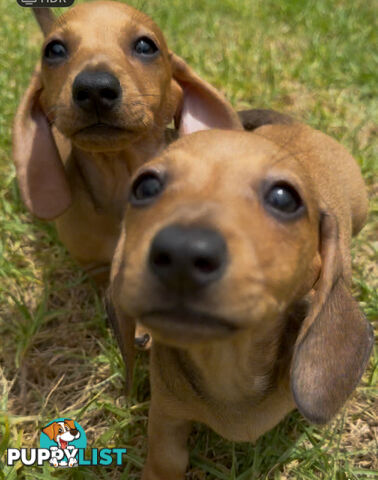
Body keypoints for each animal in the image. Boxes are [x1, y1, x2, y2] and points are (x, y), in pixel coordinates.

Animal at [106, 125, 372, 478]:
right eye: (145, 186)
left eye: (284, 198)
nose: (182, 252)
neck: (227, 368)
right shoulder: (166, 413)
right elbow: (166, 460)